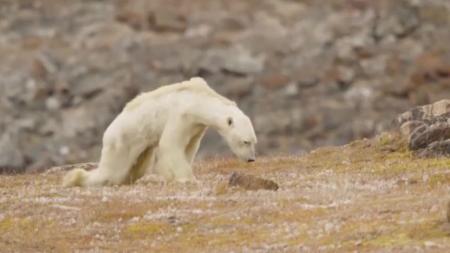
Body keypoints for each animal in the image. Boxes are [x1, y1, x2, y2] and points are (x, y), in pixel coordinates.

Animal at [62, 76, 256, 186]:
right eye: (245, 141)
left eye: (254, 141)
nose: (251, 159)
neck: (198, 99)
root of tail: (107, 132)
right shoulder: (181, 115)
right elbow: (171, 144)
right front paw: (187, 178)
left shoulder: (196, 126)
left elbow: (189, 147)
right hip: (122, 140)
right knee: (112, 172)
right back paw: (74, 179)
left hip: (140, 147)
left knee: (136, 167)